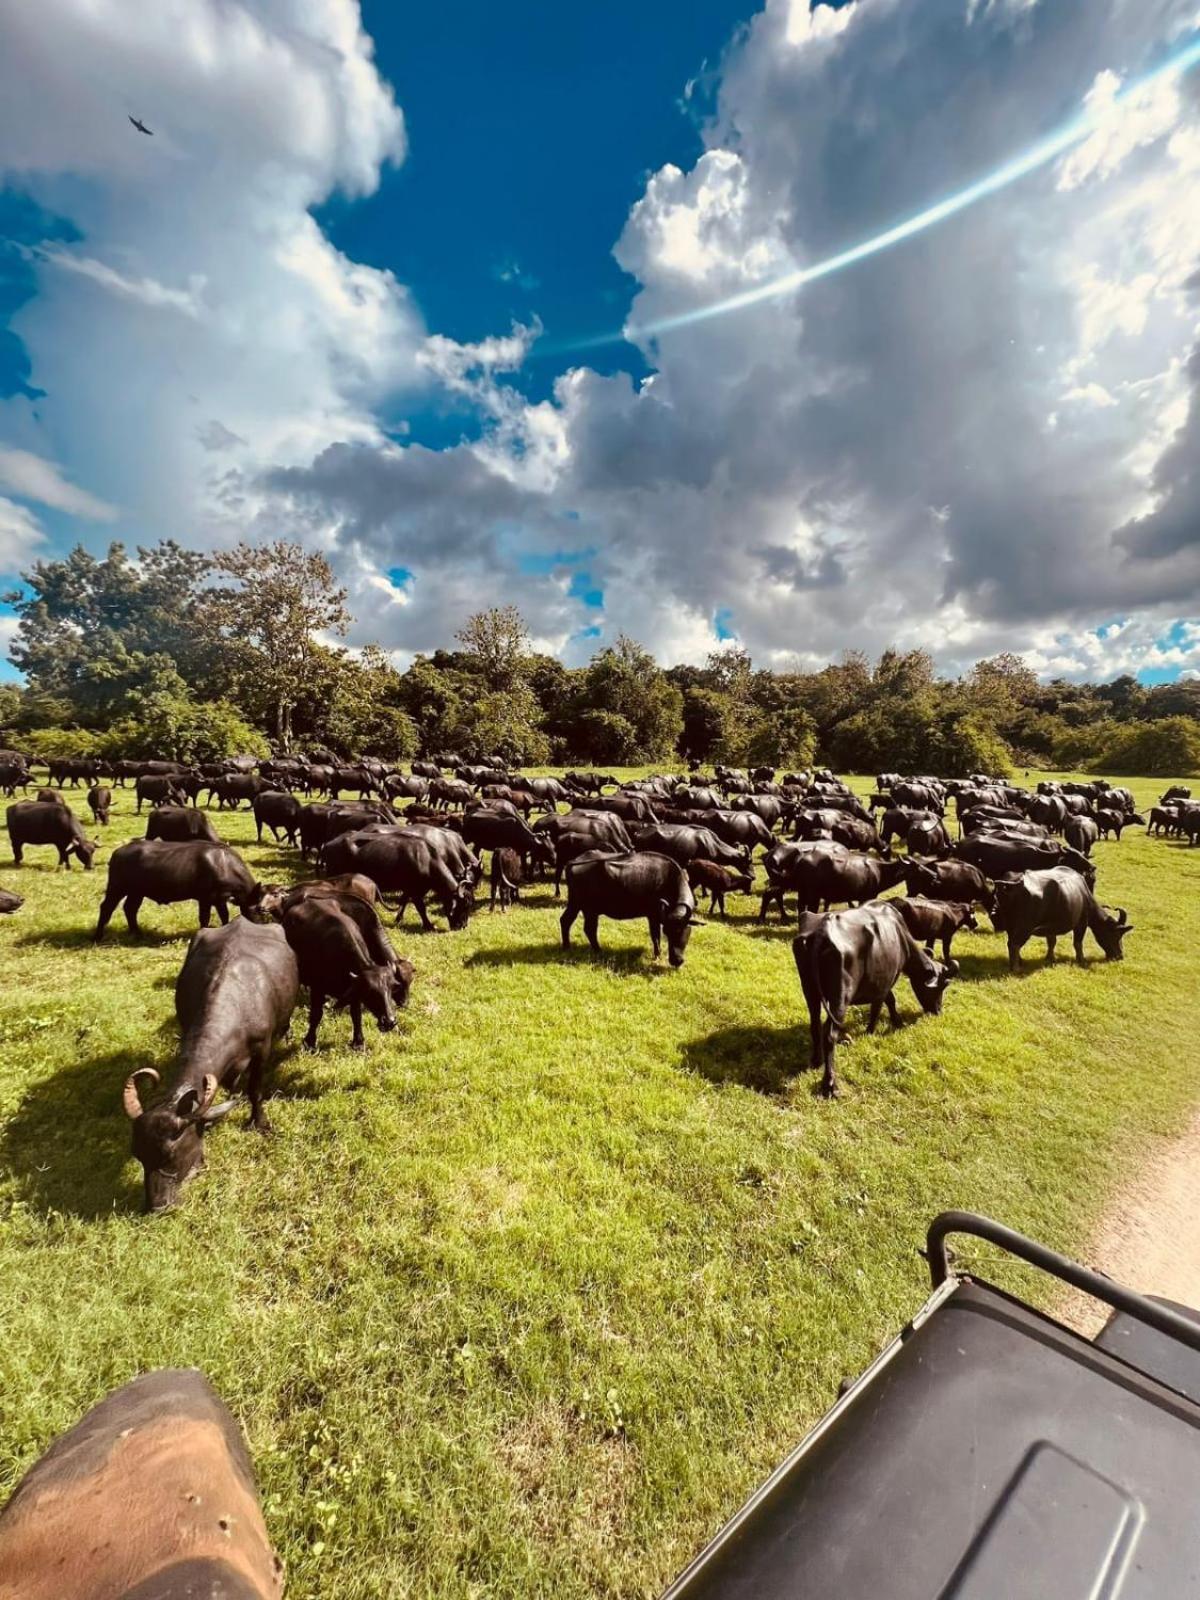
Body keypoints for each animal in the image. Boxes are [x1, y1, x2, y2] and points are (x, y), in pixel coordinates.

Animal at [95, 838, 260, 934]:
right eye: (257, 909)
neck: (224, 864)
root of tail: (117, 853)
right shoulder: (205, 899)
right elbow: (204, 918)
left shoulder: (219, 899)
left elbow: (224, 915)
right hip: (117, 888)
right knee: (106, 907)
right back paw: (98, 935)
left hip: (137, 892)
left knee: (130, 908)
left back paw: (136, 932)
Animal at [123, 921, 299, 1203]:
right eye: (138, 1155)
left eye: (171, 1155)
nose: (157, 1204)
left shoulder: (262, 1049)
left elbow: (255, 1089)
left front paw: (259, 1123)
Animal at [563, 851, 704, 960]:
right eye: (668, 932)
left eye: (681, 931)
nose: (676, 961)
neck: (670, 879)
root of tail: (573, 861)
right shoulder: (653, 915)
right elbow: (655, 936)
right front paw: (657, 955)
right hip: (589, 909)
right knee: (588, 928)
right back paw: (597, 950)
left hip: (576, 904)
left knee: (566, 920)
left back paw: (567, 946)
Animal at [793, 902, 953, 1100]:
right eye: (942, 986)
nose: (938, 1010)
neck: (901, 936)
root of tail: (822, 932)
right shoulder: (885, 982)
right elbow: (884, 1003)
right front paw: (880, 1027)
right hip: (840, 997)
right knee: (829, 1034)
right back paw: (830, 1084)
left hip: (809, 990)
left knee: (815, 1025)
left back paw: (816, 1060)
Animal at [998, 870, 1139, 966]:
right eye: (1117, 934)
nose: (1120, 956)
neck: (1084, 895)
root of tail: (1015, 883)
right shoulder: (1081, 924)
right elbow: (1078, 943)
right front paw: (1082, 960)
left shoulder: (1051, 927)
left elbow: (1052, 942)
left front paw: (1050, 958)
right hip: (1024, 927)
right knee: (1014, 944)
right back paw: (1016, 968)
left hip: (1010, 926)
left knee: (1011, 943)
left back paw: (1019, 961)